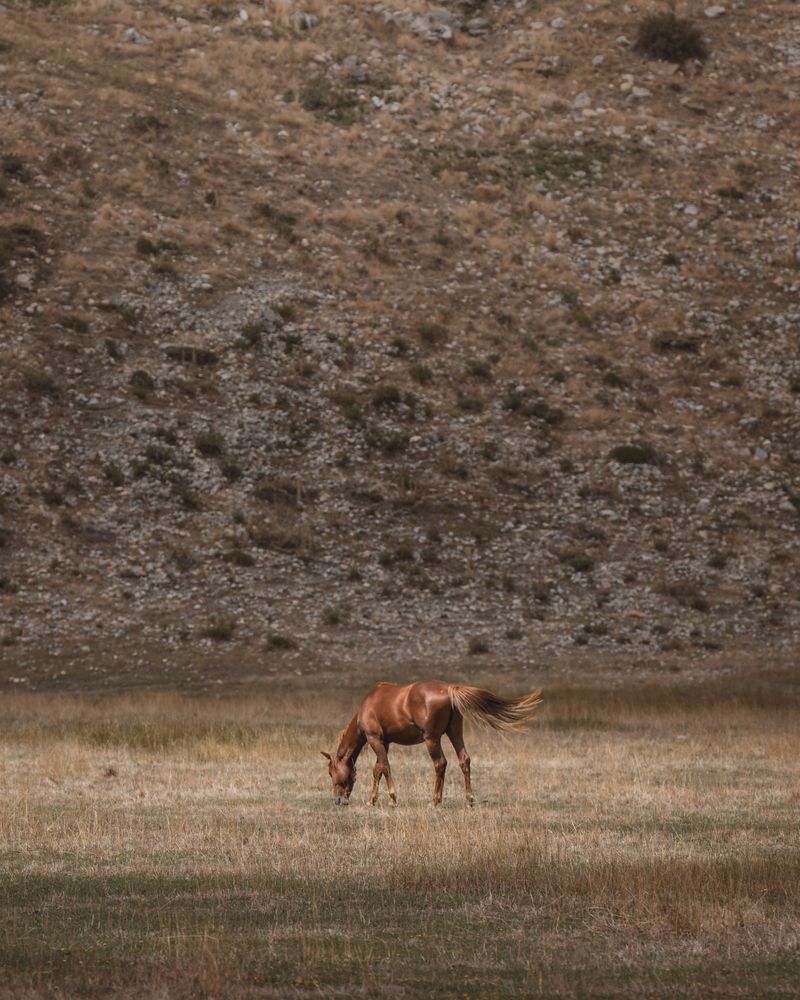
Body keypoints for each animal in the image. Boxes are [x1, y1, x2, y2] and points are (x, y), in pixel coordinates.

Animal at [321, 680, 542, 807]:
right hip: (454, 733)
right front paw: (372, 800)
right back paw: (468, 800)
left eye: (332, 773)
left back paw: (434, 801)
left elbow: (384, 768)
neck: (368, 705)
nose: (338, 800)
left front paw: (391, 799)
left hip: (432, 740)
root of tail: (449, 689)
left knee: (440, 764)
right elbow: (378, 769)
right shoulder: (385, 742)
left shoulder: (375, 739)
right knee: (464, 760)